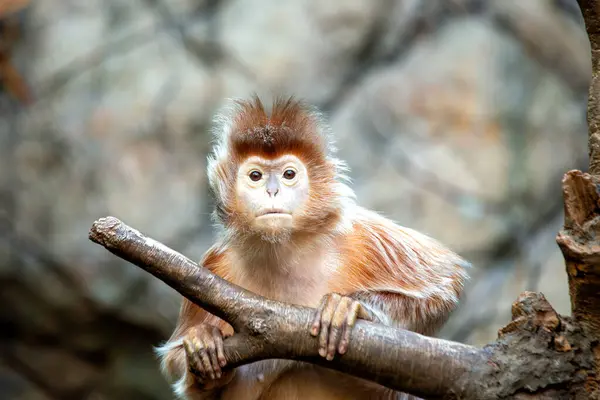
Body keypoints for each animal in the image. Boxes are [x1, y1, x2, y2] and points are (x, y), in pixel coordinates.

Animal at [157, 94, 472, 400]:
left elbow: (446, 284)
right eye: (256, 176)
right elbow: (177, 362)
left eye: (288, 174)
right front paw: (203, 342)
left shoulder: (361, 235)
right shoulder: (216, 264)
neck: (283, 250)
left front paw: (349, 306)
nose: (273, 191)